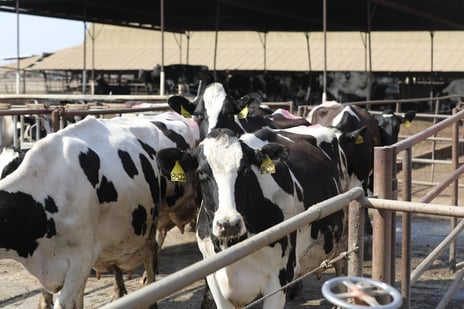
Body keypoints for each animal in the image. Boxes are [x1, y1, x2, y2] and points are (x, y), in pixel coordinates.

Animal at [158, 126, 354, 306]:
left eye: (245, 170)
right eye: (201, 173)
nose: (229, 224)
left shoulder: (279, 278)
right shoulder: (215, 280)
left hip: (344, 239)